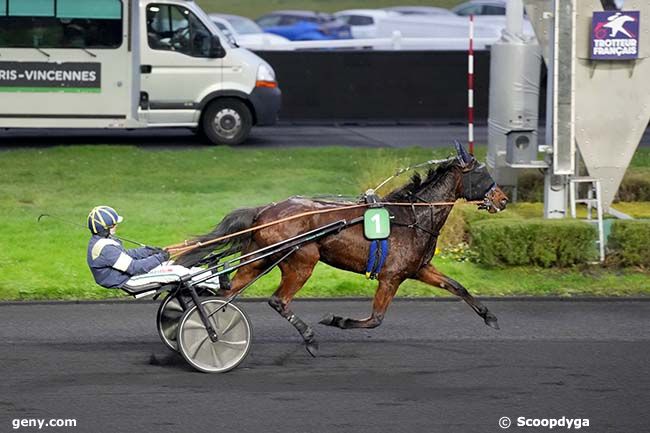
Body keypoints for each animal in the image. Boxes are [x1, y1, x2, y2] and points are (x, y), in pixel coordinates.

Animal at [176, 143, 506, 354]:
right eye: (483, 174)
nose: (502, 199)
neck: (411, 217)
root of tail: (265, 210)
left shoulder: (419, 268)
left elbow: (457, 286)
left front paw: (490, 317)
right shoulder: (391, 277)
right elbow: (376, 319)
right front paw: (337, 320)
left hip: (259, 258)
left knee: (225, 295)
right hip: (302, 260)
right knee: (277, 301)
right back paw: (309, 338)